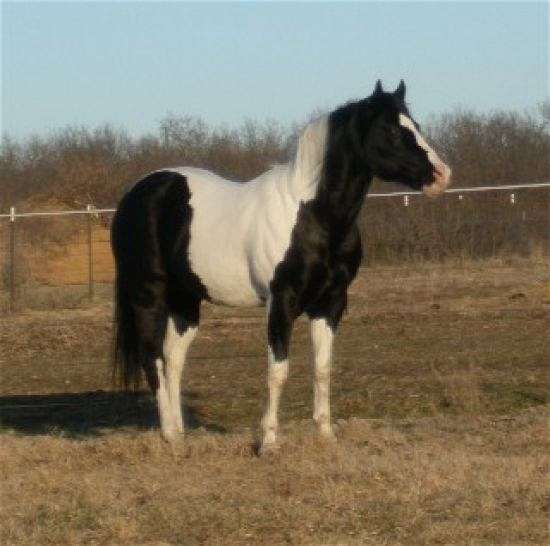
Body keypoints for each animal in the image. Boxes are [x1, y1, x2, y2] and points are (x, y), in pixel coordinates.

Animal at [112, 79, 452, 446]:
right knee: (153, 359)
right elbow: (278, 372)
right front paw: (269, 442)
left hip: (185, 299)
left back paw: (179, 432)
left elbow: (323, 370)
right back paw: (169, 436)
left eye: (415, 125)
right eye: (389, 129)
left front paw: (325, 435)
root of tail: (136, 194)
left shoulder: (330, 303)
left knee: (173, 360)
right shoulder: (281, 301)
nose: (441, 176)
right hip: (148, 294)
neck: (313, 216)